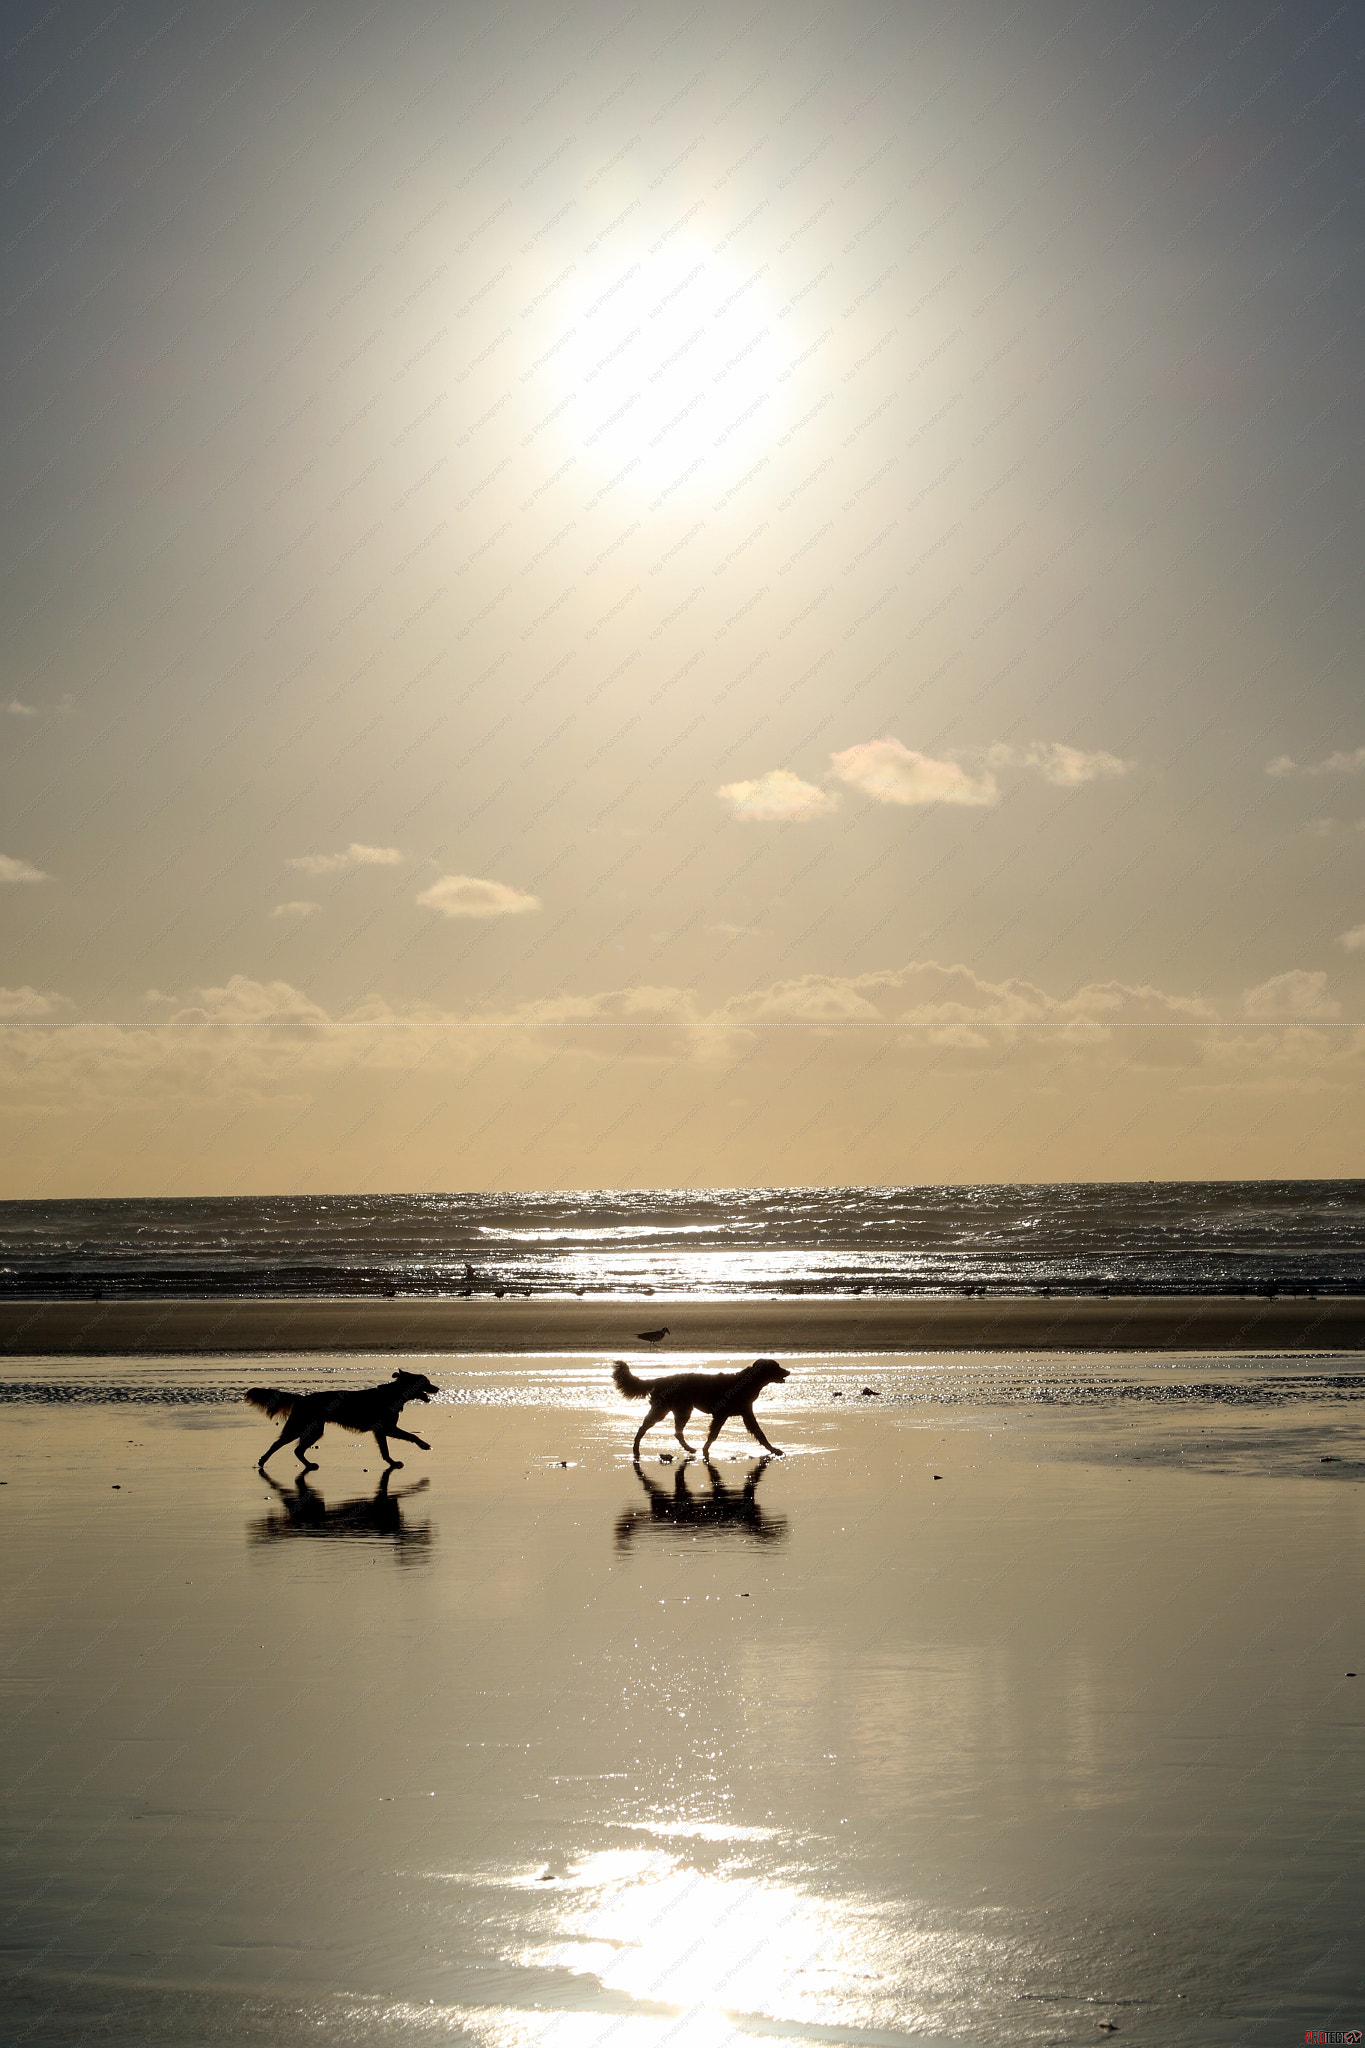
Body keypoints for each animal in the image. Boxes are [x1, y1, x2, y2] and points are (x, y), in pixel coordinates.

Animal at [245, 1376, 437, 1474]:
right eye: (425, 1382)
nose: (437, 1389)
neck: (393, 1394)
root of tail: (301, 1398)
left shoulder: (382, 1430)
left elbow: (385, 1450)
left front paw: (391, 1462)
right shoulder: (387, 1428)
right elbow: (411, 1435)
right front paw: (423, 1445)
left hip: (313, 1429)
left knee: (296, 1449)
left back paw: (307, 1465)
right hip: (302, 1427)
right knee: (280, 1445)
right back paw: (264, 1461)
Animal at [609, 1359, 789, 1458]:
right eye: (777, 1366)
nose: (788, 1371)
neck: (748, 1382)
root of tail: (660, 1379)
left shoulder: (746, 1414)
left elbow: (760, 1434)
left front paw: (773, 1449)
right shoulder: (721, 1414)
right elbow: (713, 1435)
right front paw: (706, 1450)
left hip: (682, 1410)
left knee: (677, 1432)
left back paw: (688, 1448)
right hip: (665, 1410)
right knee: (644, 1428)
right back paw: (635, 1448)